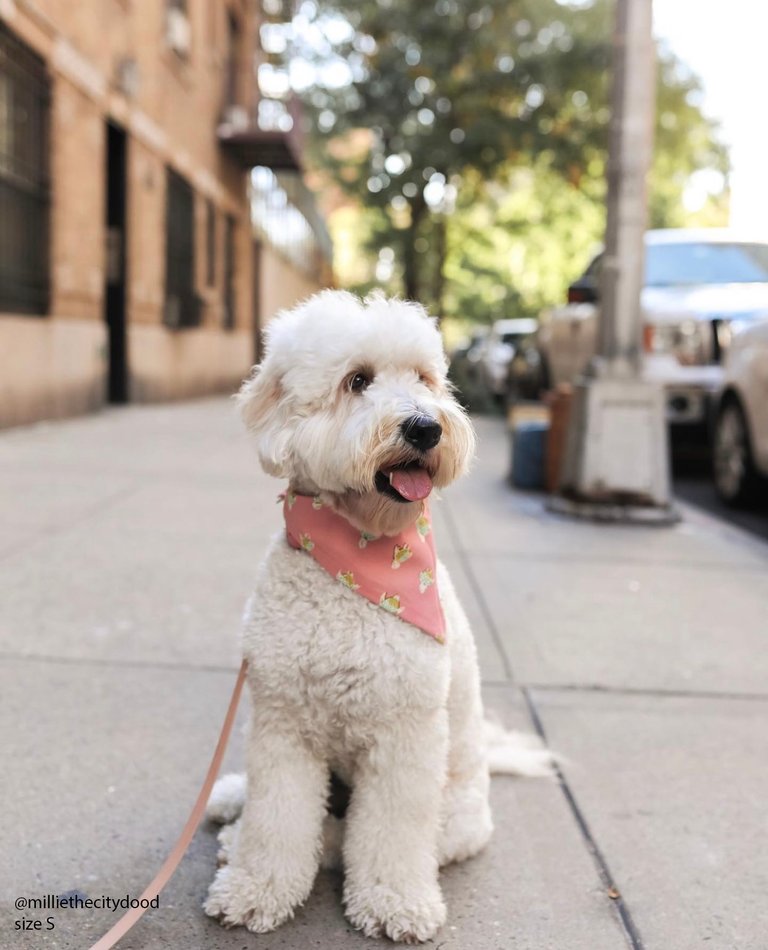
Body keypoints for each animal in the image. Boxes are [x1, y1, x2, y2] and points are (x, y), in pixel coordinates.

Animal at [204, 290, 552, 944]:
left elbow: (388, 831)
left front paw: (394, 902)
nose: (426, 426)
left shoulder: (404, 737)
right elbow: (277, 815)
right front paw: (256, 888)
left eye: (424, 379)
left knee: (341, 840)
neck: (362, 558)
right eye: (357, 380)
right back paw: (234, 813)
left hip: (454, 818)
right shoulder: (283, 725)